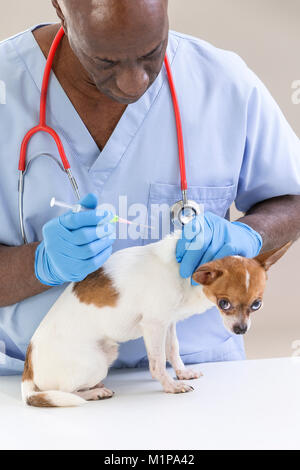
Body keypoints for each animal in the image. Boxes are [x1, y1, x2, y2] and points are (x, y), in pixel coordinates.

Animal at [22, 231, 292, 408]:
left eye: (257, 304)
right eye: (224, 303)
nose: (241, 329)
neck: (183, 273)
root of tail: (28, 370)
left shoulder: (168, 323)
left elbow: (173, 349)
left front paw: (182, 373)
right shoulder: (153, 325)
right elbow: (158, 362)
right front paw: (170, 386)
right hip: (95, 362)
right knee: (65, 391)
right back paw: (93, 394)